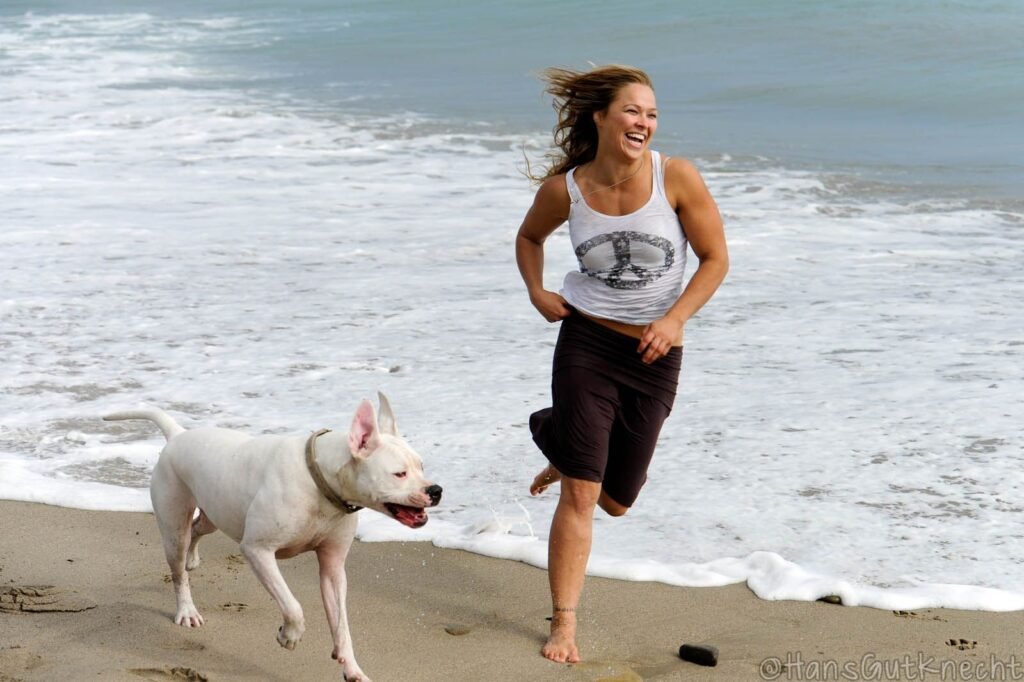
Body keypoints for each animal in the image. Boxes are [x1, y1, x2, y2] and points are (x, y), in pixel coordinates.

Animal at [104, 393, 440, 679]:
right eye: (399, 474)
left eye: (422, 466)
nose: (436, 490)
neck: (319, 481)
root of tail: (178, 435)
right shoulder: (258, 550)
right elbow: (293, 605)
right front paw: (289, 635)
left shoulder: (333, 568)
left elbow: (342, 625)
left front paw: (352, 668)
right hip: (173, 523)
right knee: (178, 570)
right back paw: (187, 609)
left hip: (216, 511)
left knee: (198, 529)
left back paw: (192, 558)